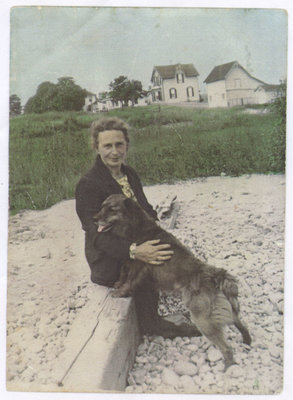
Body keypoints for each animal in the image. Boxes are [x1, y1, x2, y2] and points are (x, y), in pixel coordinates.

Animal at [94, 195, 250, 372]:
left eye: (112, 209)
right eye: (102, 206)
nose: (94, 219)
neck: (136, 227)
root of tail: (212, 274)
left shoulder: (138, 265)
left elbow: (129, 280)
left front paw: (120, 292)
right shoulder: (128, 260)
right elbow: (123, 272)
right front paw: (118, 284)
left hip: (203, 319)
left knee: (226, 347)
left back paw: (228, 367)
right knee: (239, 323)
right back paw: (246, 341)